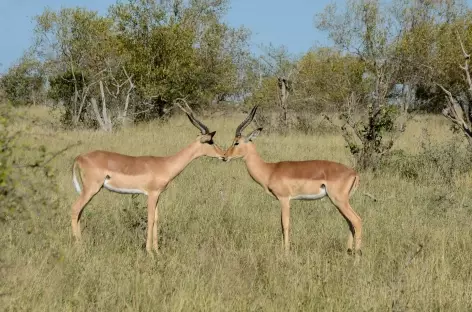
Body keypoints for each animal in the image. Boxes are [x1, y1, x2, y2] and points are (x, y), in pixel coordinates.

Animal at [70, 102, 225, 254]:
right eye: (210, 142)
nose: (223, 155)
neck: (165, 164)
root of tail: (80, 157)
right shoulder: (151, 194)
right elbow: (150, 219)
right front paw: (149, 251)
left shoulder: (158, 195)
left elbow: (156, 219)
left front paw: (157, 251)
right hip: (91, 189)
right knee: (75, 208)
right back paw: (79, 246)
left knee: (79, 212)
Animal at [223, 106, 364, 258]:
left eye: (236, 142)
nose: (225, 157)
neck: (270, 170)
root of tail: (354, 173)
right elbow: (281, 224)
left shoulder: (284, 199)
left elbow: (285, 224)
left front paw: (286, 253)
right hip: (340, 203)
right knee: (350, 223)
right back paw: (348, 252)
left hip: (339, 201)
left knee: (357, 220)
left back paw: (357, 256)